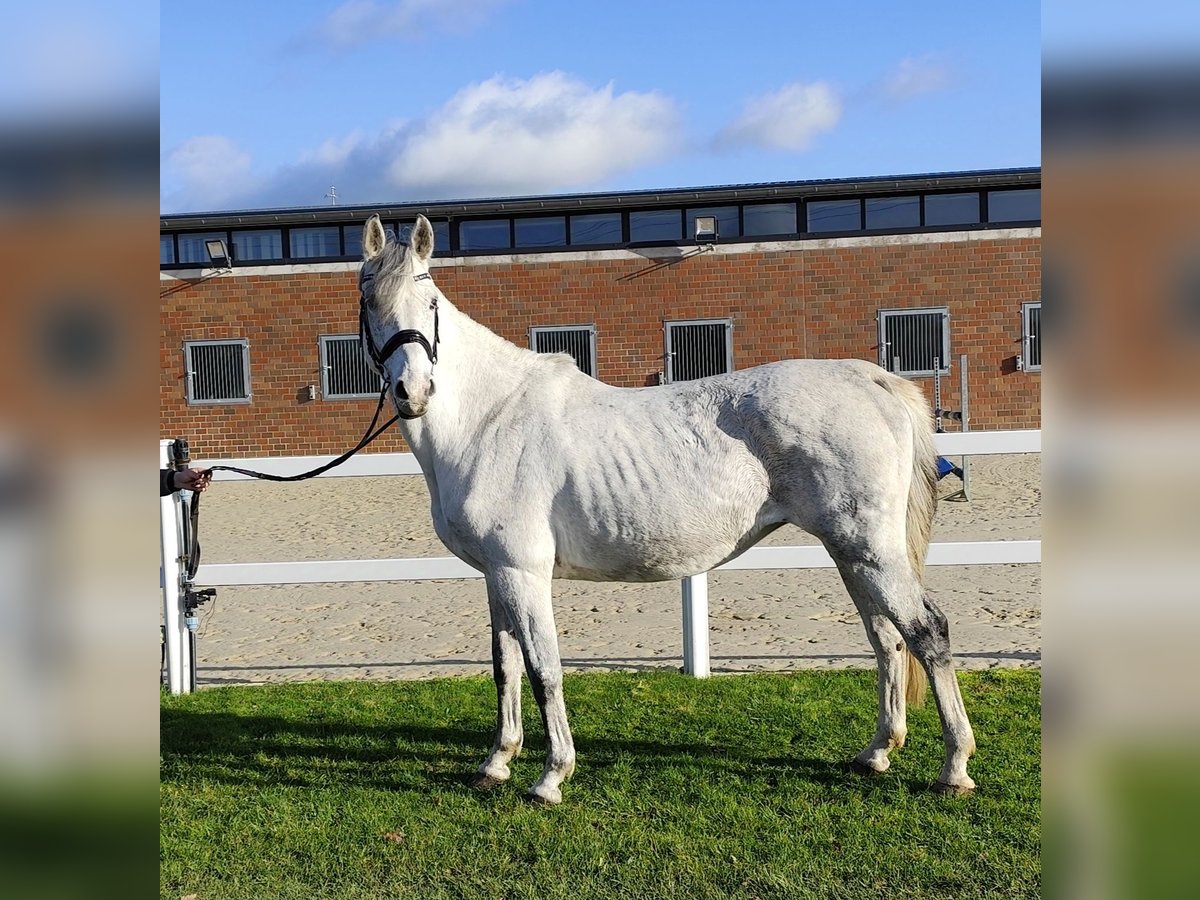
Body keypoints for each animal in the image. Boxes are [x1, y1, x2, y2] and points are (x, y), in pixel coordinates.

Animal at [355, 217, 974, 801]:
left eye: (430, 301)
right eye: (370, 301)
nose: (413, 391)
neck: (490, 418)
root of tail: (870, 377)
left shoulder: (522, 572)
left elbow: (543, 670)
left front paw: (551, 776)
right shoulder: (496, 575)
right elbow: (505, 668)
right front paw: (496, 764)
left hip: (870, 551)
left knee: (927, 632)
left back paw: (954, 768)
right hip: (852, 554)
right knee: (887, 639)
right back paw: (877, 752)